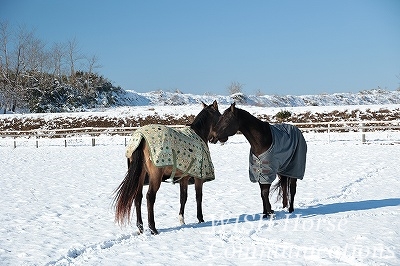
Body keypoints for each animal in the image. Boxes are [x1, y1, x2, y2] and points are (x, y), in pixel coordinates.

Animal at [113, 101, 222, 234]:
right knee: (150, 197)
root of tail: (141, 137)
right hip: (155, 176)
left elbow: (183, 197)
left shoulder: (184, 177)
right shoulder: (198, 178)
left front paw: (182, 220)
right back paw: (153, 228)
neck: (198, 133)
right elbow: (198, 197)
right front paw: (200, 219)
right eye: (220, 116)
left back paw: (140, 227)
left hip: (141, 175)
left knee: (138, 197)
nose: (215, 139)